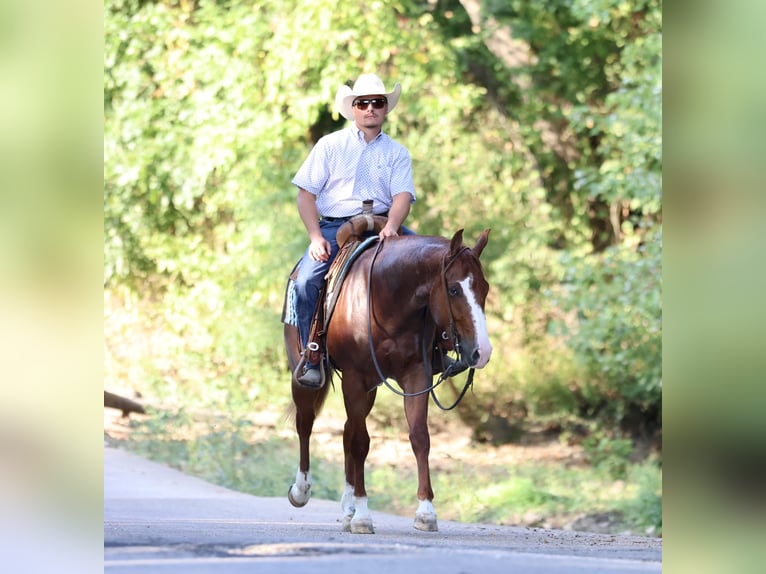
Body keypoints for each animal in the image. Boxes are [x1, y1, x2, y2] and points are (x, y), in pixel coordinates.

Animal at [283, 225, 492, 534]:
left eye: (484, 288)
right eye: (454, 289)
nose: (482, 352)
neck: (387, 299)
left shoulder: (416, 376)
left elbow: (419, 437)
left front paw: (425, 512)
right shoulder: (355, 378)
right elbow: (361, 443)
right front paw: (363, 516)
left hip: (369, 388)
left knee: (346, 431)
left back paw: (347, 509)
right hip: (305, 377)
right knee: (306, 422)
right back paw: (301, 491)